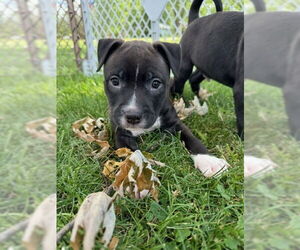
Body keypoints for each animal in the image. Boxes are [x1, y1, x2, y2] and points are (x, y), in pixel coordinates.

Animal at [97, 39, 229, 177]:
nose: (132, 116)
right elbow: (133, 155)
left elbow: (192, 139)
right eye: (115, 81)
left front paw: (209, 160)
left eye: (155, 83)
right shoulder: (121, 134)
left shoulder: (175, 124)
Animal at [171, 0, 244, 138]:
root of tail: (194, 20)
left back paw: (198, 97)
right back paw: (177, 101)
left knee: (193, 78)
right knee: (178, 83)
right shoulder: (240, 89)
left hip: (206, 65)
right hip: (185, 66)